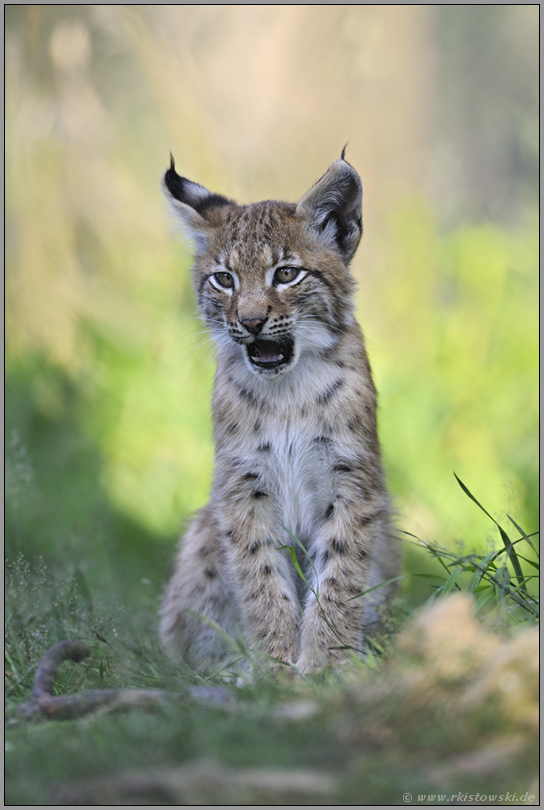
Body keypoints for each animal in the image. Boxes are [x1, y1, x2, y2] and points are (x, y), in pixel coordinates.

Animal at [159, 150, 398, 668]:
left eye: (286, 274)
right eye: (224, 279)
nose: (250, 322)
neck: (286, 391)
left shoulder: (351, 480)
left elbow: (339, 577)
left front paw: (325, 665)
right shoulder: (241, 487)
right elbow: (261, 579)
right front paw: (274, 668)